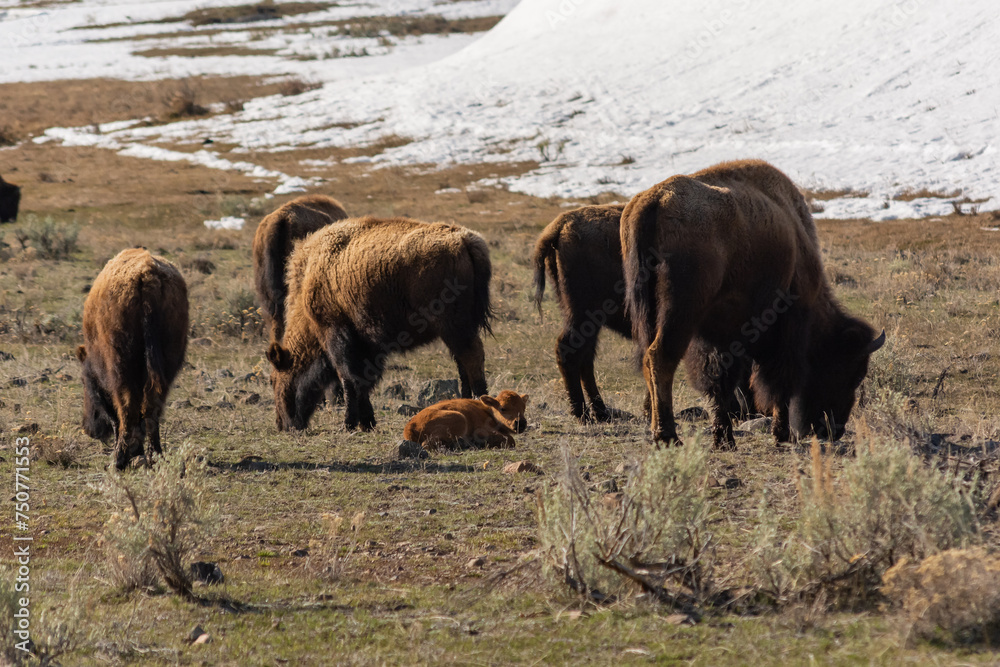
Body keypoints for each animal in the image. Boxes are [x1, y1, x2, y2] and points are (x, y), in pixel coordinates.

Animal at [76, 248, 189, 469]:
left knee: (127, 410)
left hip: (121, 369)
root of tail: (148, 277)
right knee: (152, 409)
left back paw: (118, 460)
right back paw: (156, 457)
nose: (89, 429)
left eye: (84, 381)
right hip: (167, 365)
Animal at [266, 216, 494, 433]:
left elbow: (349, 379)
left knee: (472, 357)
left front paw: (348, 424)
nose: (281, 425)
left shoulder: (335, 334)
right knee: (463, 363)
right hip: (458, 330)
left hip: (454, 327)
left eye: (275, 379)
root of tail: (464, 240)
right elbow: (362, 381)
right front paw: (367, 423)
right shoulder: (367, 346)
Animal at [533, 203, 755, 447]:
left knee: (585, 358)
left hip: (589, 321)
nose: (750, 412)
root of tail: (559, 226)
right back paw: (583, 415)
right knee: (569, 351)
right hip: (582, 314)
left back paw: (601, 412)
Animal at [621, 159, 884, 446]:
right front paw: (780, 433)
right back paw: (667, 435)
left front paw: (724, 437)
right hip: (679, 314)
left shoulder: (720, 335)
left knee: (648, 361)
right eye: (852, 373)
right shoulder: (787, 329)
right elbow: (779, 381)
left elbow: (719, 380)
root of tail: (655, 199)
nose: (833, 430)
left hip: (648, 314)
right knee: (661, 357)